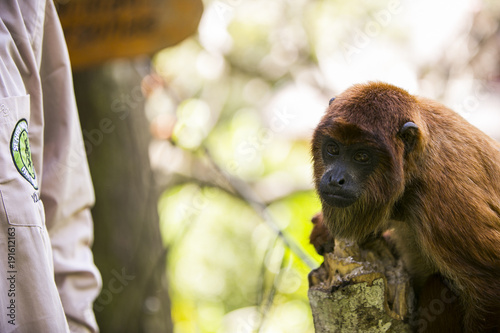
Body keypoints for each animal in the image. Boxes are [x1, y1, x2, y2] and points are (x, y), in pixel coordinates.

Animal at [310, 81, 500, 330]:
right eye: (333, 149)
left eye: (362, 156)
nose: (335, 179)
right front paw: (324, 231)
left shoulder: (445, 200)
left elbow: (490, 283)